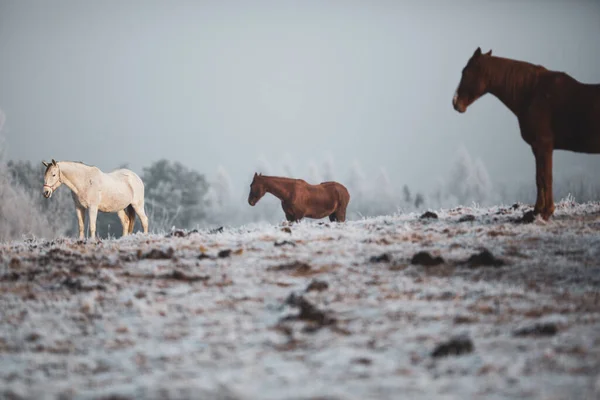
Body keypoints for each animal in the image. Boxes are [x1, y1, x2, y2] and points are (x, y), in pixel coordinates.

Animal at [454, 48, 600, 222]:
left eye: (466, 72)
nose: (456, 103)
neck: (532, 93)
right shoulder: (537, 147)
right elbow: (539, 179)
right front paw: (537, 211)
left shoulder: (544, 145)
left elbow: (546, 178)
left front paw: (546, 212)